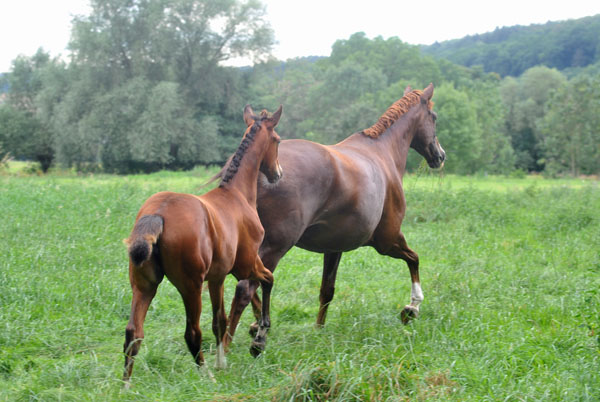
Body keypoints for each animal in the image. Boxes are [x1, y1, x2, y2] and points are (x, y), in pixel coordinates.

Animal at [122, 104, 284, 384]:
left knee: (134, 332)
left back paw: (125, 386)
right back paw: (206, 376)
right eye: (277, 140)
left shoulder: (217, 278)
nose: (278, 173)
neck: (237, 195)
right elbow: (268, 280)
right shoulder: (247, 264)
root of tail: (158, 214)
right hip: (190, 285)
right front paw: (259, 340)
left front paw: (224, 361)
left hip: (144, 284)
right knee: (192, 332)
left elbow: (219, 320)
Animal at [223, 83, 442, 350]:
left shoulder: (334, 248)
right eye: (434, 117)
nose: (440, 156)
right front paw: (412, 307)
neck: (382, 153)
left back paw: (254, 327)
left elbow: (327, 290)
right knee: (246, 287)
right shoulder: (388, 240)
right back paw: (233, 344)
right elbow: (414, 259)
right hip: (275, 246)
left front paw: (319, 330)